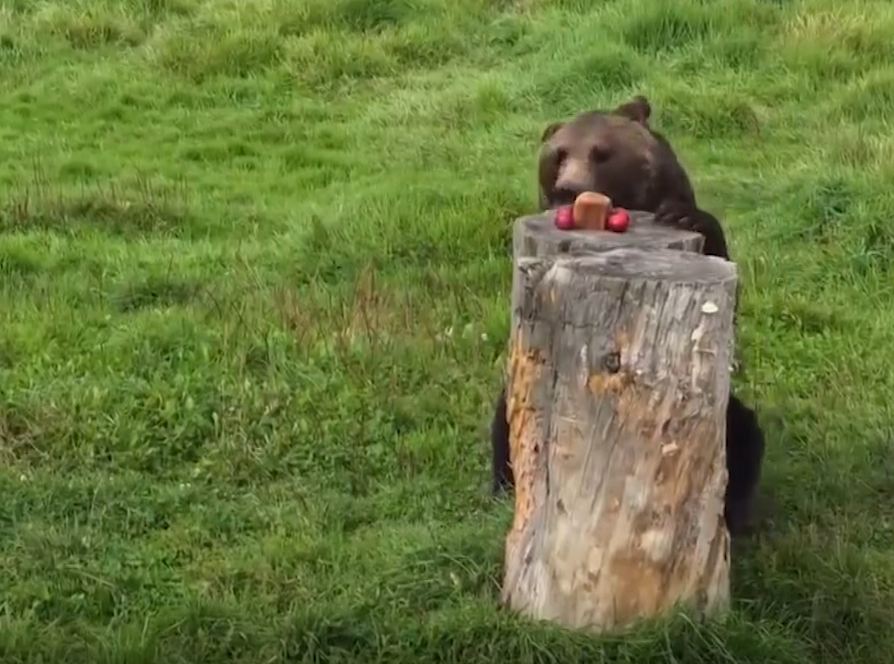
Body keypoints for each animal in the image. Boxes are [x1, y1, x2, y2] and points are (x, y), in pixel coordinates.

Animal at [490, 95, 765, 538]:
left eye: (602, 153)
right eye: (559, 153)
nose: (569, 189)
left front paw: (684, 216)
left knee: (741, 431)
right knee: (506, 423)